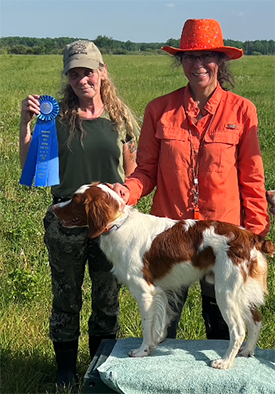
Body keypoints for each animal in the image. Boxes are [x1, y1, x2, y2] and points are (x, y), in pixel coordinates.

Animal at [53, 182, 274, 370]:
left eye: (75, 199)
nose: (54, 207)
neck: (119, 224)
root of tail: (251, 238)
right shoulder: (162, 291)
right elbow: (160, 321)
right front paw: (155, 342)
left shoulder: (145, 292)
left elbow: (147, 324)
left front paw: (142, 350)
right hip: (239, 293)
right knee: (256, 321)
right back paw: (247, 351)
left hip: (225, 292)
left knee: (238, 330)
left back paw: (225, 362)